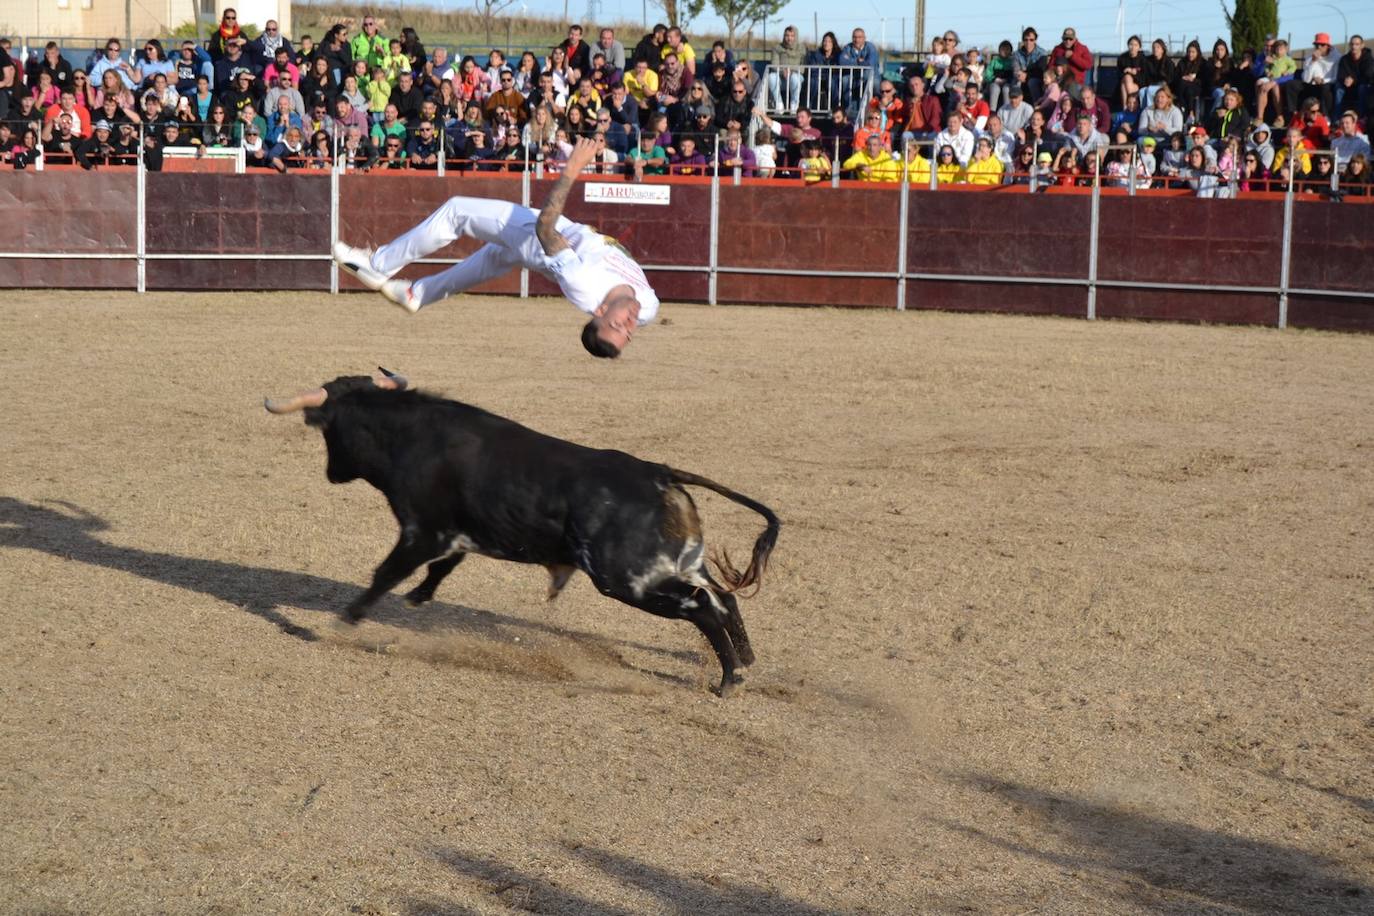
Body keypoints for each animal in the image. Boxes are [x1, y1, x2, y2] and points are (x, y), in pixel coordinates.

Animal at [265, 373, 785, 694]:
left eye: (330, 431)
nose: (331, 473)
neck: (412, 437)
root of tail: (658, 473)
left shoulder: (422, 531)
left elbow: (385, 574)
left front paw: (343, 622)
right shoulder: (454, 537)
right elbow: (440, 569)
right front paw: (417, 598)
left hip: (626, 579)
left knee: (703, 606)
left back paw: (727, 682)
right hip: (677, 563)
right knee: (723, 597)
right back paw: (745, 662)